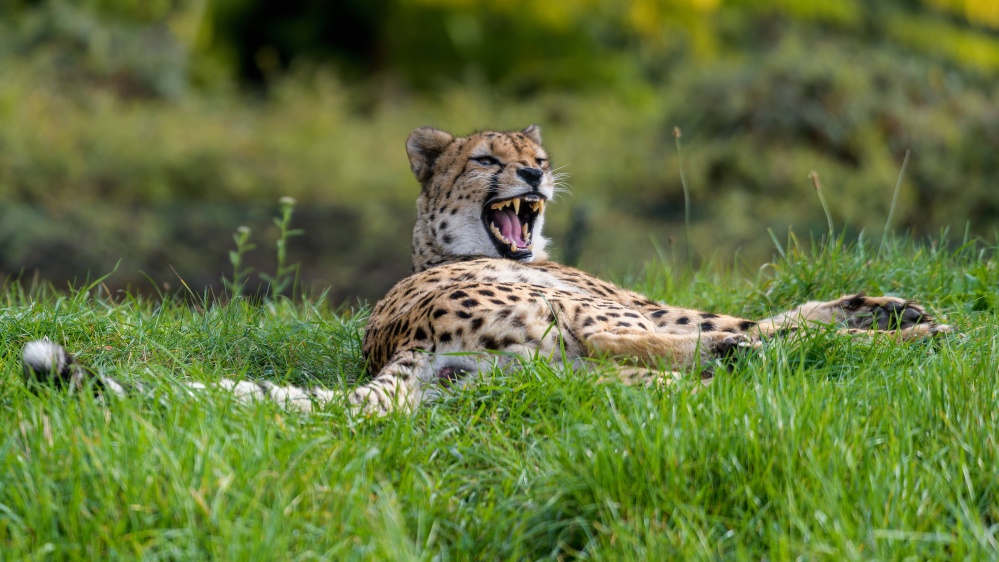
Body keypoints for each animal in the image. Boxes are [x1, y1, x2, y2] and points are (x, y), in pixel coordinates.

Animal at [19, 128, 948, 416]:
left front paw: (885, 311)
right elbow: (770, 311)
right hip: (579, 327)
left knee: (619, 380)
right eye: (487, 158)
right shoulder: (634, 306)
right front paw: (891, 313)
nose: (534, 172)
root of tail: (398, 336)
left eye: (533, 153)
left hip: (528, 369)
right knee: (676, 352)